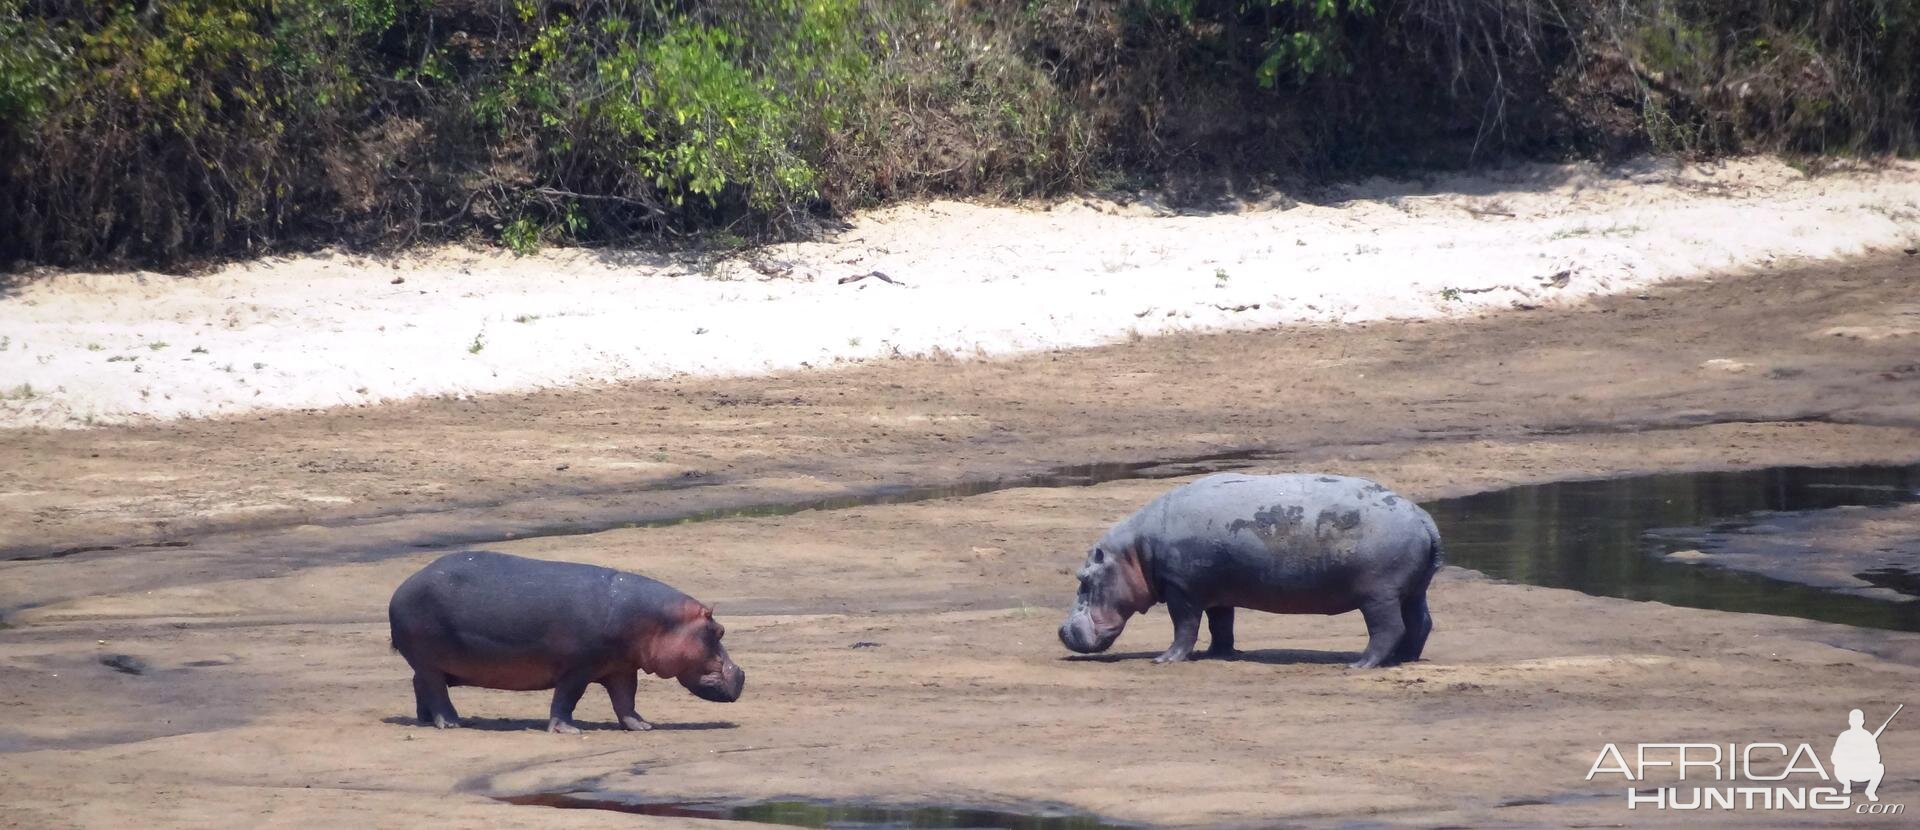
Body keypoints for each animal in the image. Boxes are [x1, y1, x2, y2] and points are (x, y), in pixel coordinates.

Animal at [387, 549, 741, 733]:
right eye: (719, 631)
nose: (741, 674)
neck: (659, 621)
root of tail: (402, 587)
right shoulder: (578, 668)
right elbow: (567, 698)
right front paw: (568, 730)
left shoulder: (621, 667)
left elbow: (626, 699)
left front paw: (642, 726)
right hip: (429, 660)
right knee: (435, 689)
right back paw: (451, 723)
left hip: (431, 664)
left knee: (421, 685)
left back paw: (425, 719)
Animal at [1059, 472, 1443, 668]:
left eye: (1084, 580)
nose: (1061, 631)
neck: (1136, 551)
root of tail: (1422, 516)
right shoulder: (1216, 593)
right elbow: (1220, 625)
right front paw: (1219, 655)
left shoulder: (1182, 590)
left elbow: (1184, 627)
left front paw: (1164, 659)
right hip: (1413, 590)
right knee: (1420, 622)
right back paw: (1405, 658)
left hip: (1379, 596)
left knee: (1387, 629)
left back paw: (1360, 665)